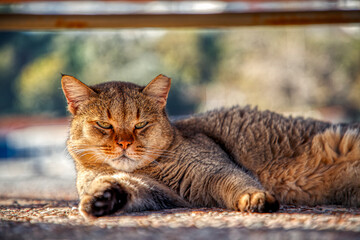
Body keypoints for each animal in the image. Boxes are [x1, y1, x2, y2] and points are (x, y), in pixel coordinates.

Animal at [61, 73, 360, 219]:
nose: (124, 142)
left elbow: (237, 183)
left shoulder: (214, 170)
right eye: (104, 125)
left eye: (140, 124)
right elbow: (123, 189)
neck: (146, 170)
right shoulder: (155, 192)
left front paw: (254, 198)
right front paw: (101, 198)